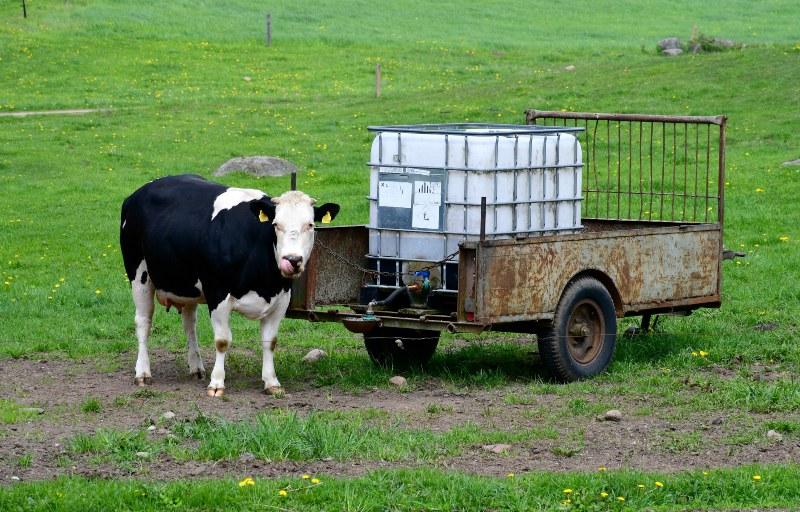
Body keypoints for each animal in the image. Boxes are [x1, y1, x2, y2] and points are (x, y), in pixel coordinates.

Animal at [120, 174, 340, 398]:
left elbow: (270, 341)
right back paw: (143, 372)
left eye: (310, 225)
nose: (292, 260)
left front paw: (272, 382)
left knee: (189, 324)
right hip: (139, 275)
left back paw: (196, 367)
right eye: (276, 224)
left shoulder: (281, 299)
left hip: (188, 285)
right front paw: (217, 383)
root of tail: (138, 193)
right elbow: (222, 341)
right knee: (143, 322)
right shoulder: (218, 294)